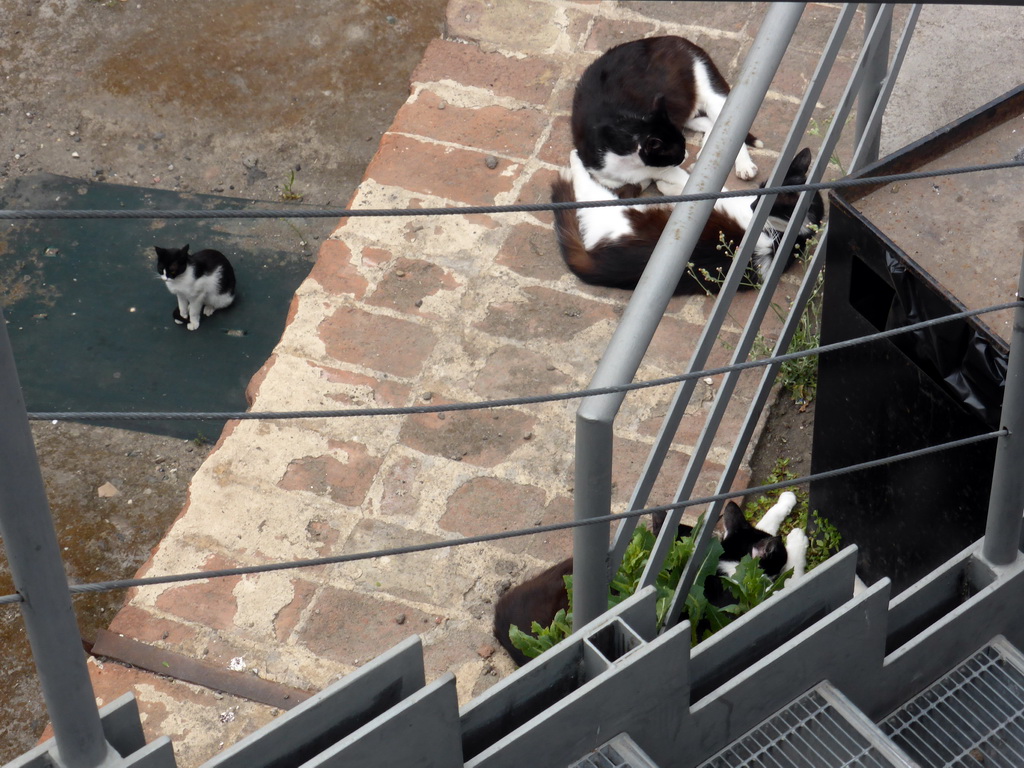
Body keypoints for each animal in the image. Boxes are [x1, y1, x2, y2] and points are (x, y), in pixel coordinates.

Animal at [552, 147, 823, 294]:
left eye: (765, 200)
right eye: (762, 188)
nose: (753, 204)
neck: (790, 234)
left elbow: (690, 182)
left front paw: (668, 178)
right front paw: (664, 182)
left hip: (611, 211)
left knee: (586, 189)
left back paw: (574, 163)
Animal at [573, 35, 765, 195]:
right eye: (676, 150)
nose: (685, 154)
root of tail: (680, 40)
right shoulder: (600, 170)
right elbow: (621, 182)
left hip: (709, 93)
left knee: (730, 124)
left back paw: (744, 165)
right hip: (679, 109)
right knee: (709, 123)